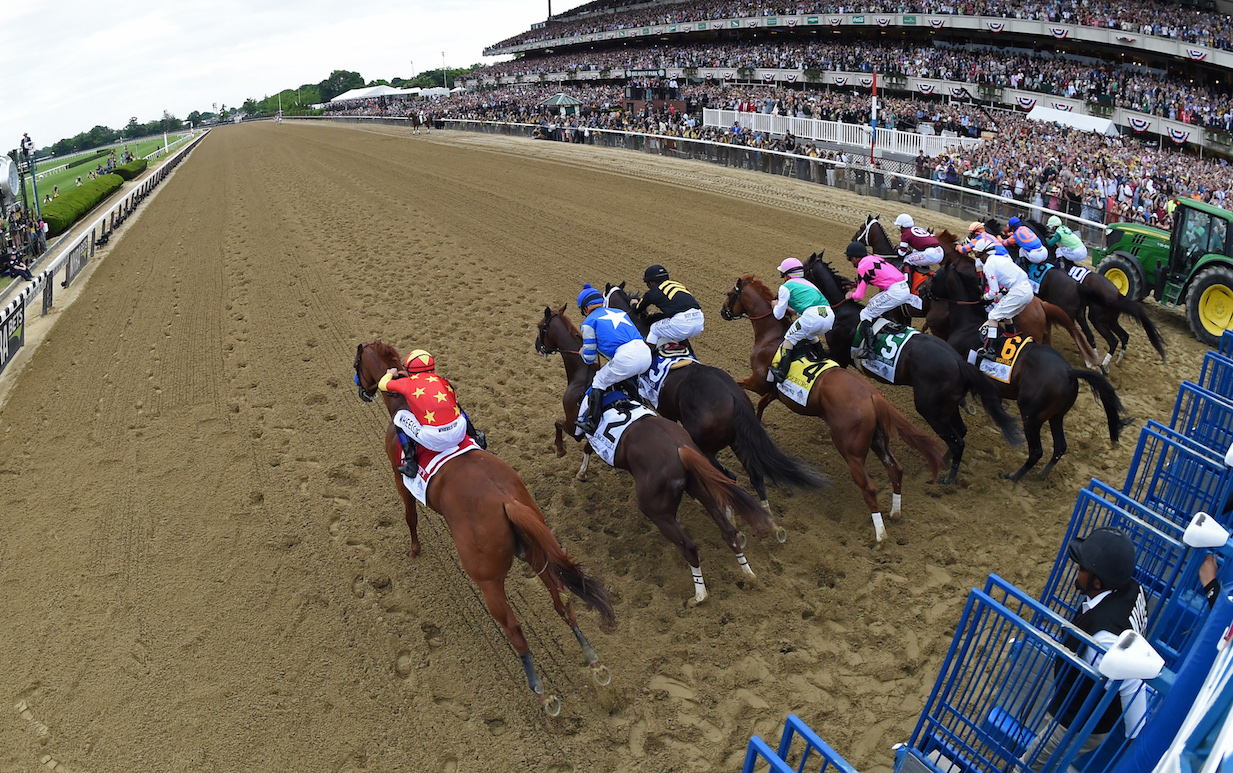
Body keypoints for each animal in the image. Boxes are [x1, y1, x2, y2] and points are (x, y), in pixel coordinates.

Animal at [355, 337, 614, 715]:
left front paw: (415, 549)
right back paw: (594, 662)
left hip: (488, 578)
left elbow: (410, 515)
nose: (363, 390)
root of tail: (507, 501)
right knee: (563, 601)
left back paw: (542, 692)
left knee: (514, 628)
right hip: (535, 551)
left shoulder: (398, 479)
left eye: (358, 362)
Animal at [530, 305, 779, 609]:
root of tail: (681, 449)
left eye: (541, 326)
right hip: (700, 486)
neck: (583, 377)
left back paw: (699, 595)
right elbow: (589, 448)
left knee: (689, 546)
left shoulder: (574, 425)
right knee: (728, 530)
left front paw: (559, 449)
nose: (538, 346)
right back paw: (748, 572)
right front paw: (583, 471)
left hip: (657, 509)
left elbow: (558, 425)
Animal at [715, 276, 942, 544]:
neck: (771, 336)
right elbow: (760, 406)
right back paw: (895, 512)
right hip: (877, 440)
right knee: (895, 470)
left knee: (869, 487)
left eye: (730, 294)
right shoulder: (774, 391)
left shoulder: (759, 382)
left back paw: (880, 535)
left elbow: (740, 385)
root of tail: (873, 396)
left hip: (850, 449)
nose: (723, 311)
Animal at [798, 253, 1020, 483]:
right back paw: (944, 463)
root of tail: (959, 363)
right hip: (947, 406)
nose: (788, 277)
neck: (842, 311)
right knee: (961, 432)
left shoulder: (838, 355)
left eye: (803, 268)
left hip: (929, 409)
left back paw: (947, 479)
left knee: (957, 441)